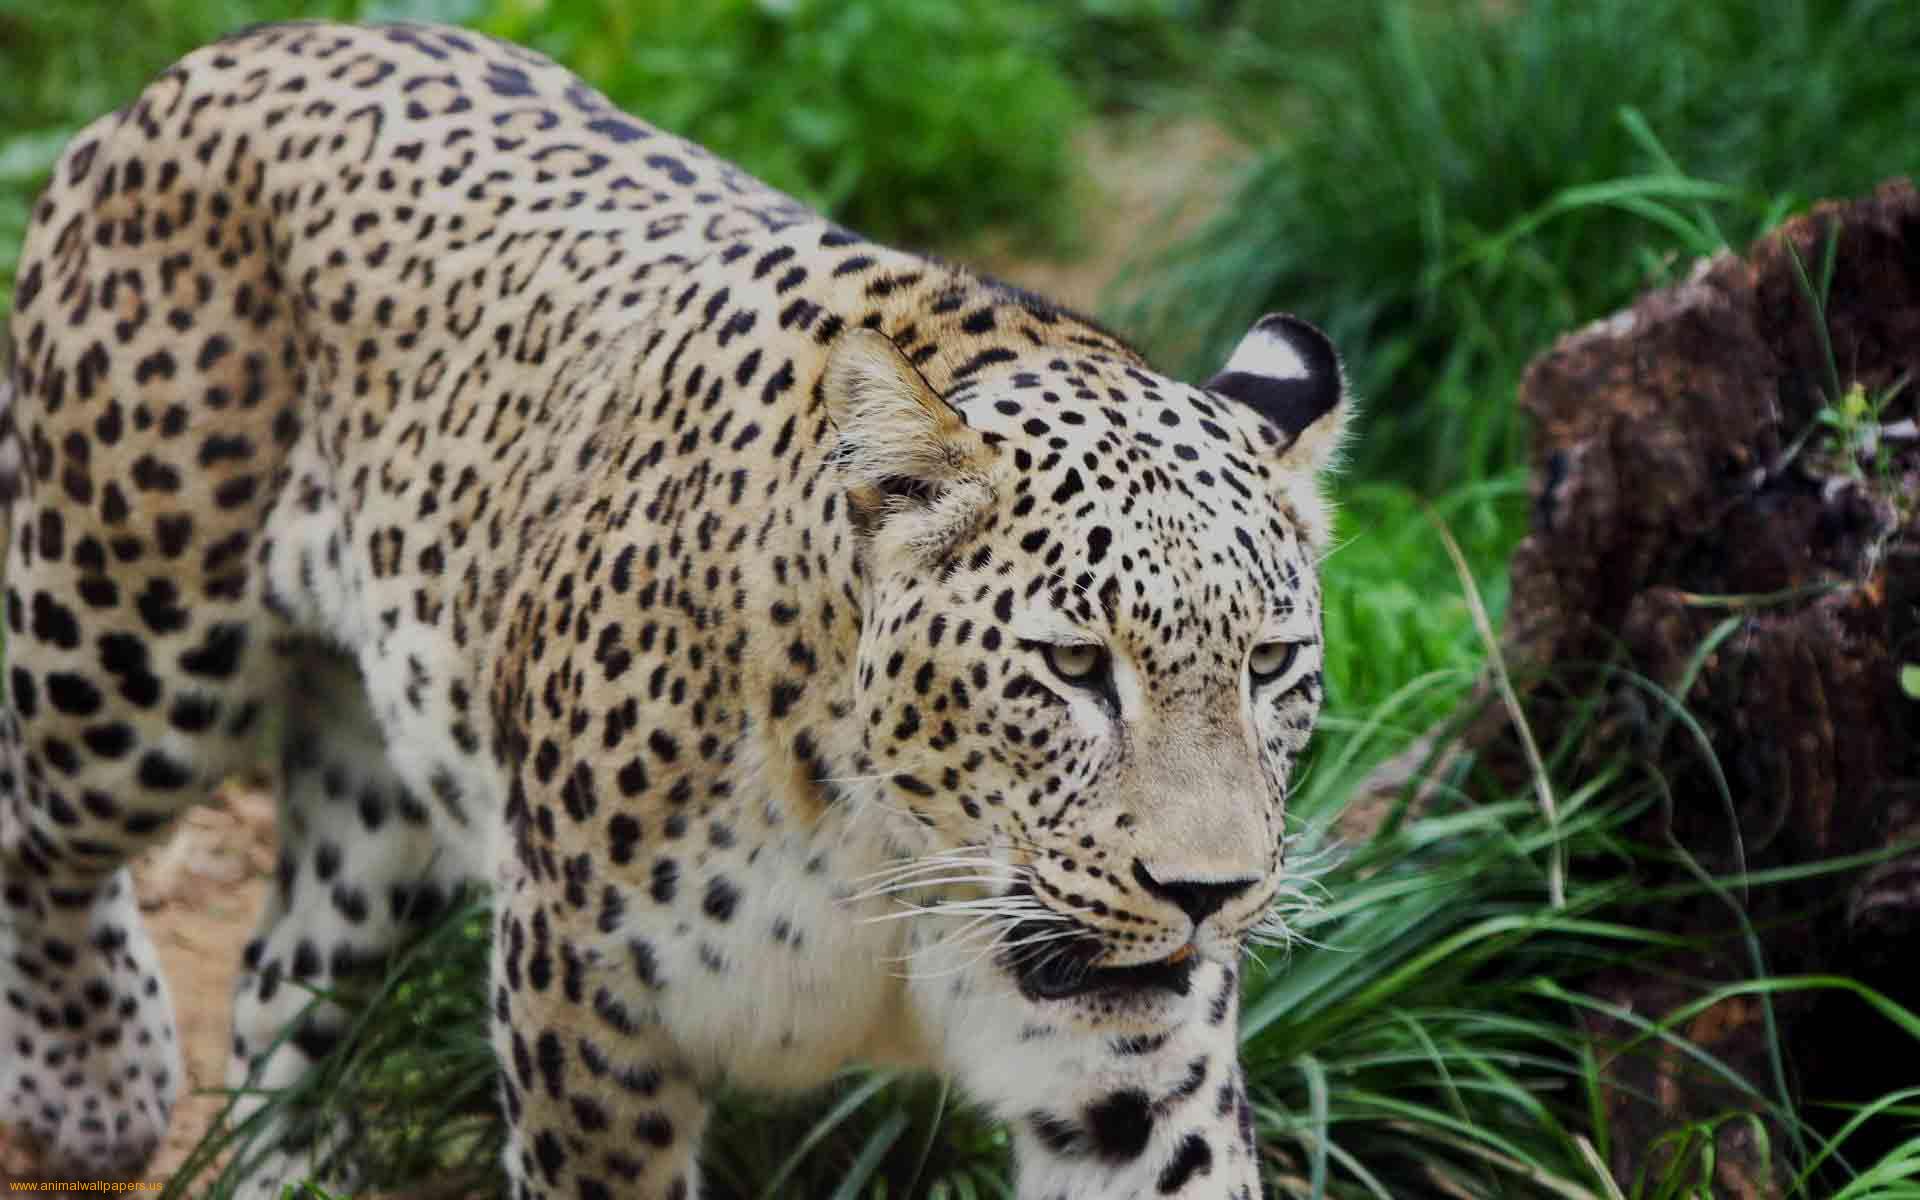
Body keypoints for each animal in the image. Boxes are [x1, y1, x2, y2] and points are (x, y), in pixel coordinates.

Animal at [0, 21, 1350, 1199]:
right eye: (1073, 667)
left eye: (1272, 664)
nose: (1209, 894)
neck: (901, 859)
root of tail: (233, 52)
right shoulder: (582, 1001)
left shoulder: (1135, 1080)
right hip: (122, 650)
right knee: (36, 833)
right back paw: (97, 1089)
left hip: (386, 782)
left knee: (279, 975)